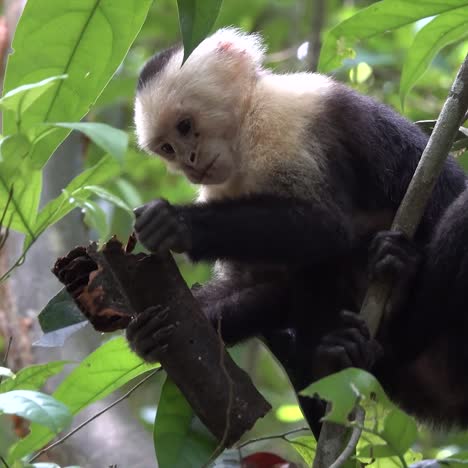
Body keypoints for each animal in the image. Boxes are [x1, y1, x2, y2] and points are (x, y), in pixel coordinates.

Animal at [127, 28, 468, 432]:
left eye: (185, 126)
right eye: (167, 148)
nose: (190, 164)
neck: (243, 135)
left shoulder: (284, 120)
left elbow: (328, 225)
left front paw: (177, 223)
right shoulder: (221, 185)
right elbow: (263, 282)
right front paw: (147, 333)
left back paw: (398, 294)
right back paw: (334, 359)